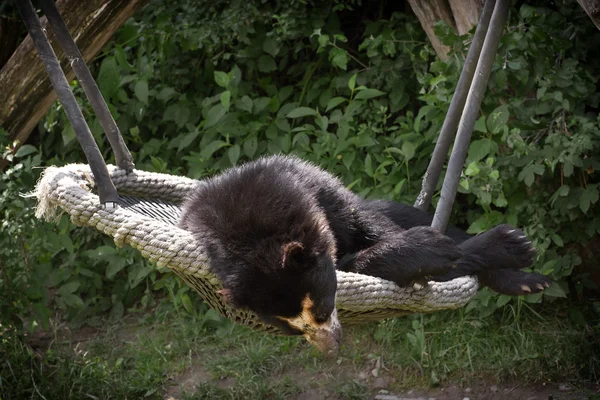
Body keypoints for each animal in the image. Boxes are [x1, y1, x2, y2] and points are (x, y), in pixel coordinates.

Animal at [179, 155, 552, 354]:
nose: (331, 348)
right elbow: (356, 262)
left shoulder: (317, 189)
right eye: (293, 330)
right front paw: (435, 254)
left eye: (322, 307)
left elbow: (375, 228)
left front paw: (504, 247)